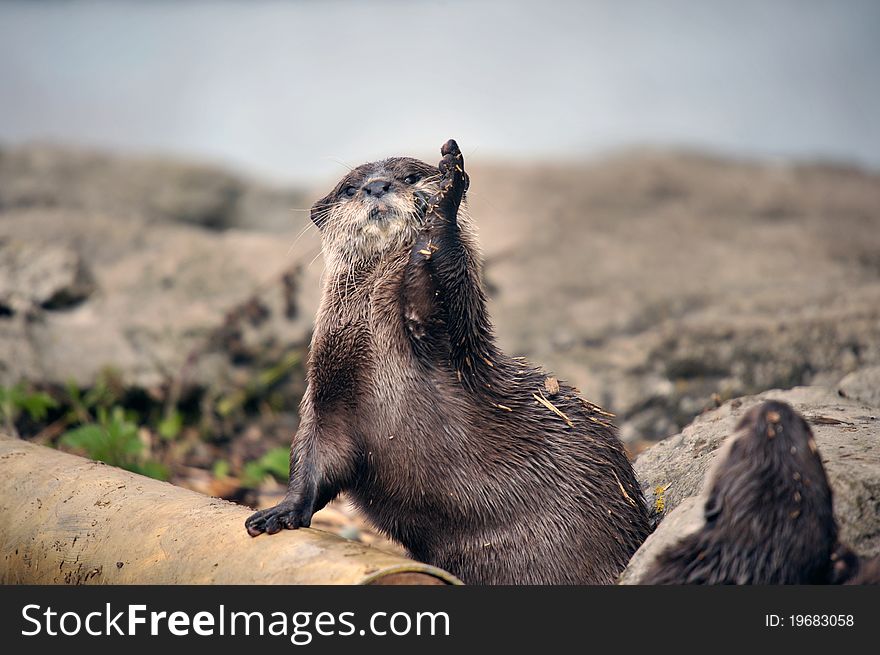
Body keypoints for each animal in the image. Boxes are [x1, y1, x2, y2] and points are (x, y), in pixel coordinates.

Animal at [244, 138, 648, 584]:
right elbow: (314, 454)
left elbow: (441, 284)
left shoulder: (450, 334)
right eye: (349, 188)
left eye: (410, 176)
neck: (370, 339)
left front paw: (446, 195)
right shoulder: (328, 391)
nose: (377, 186)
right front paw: (281, 512)